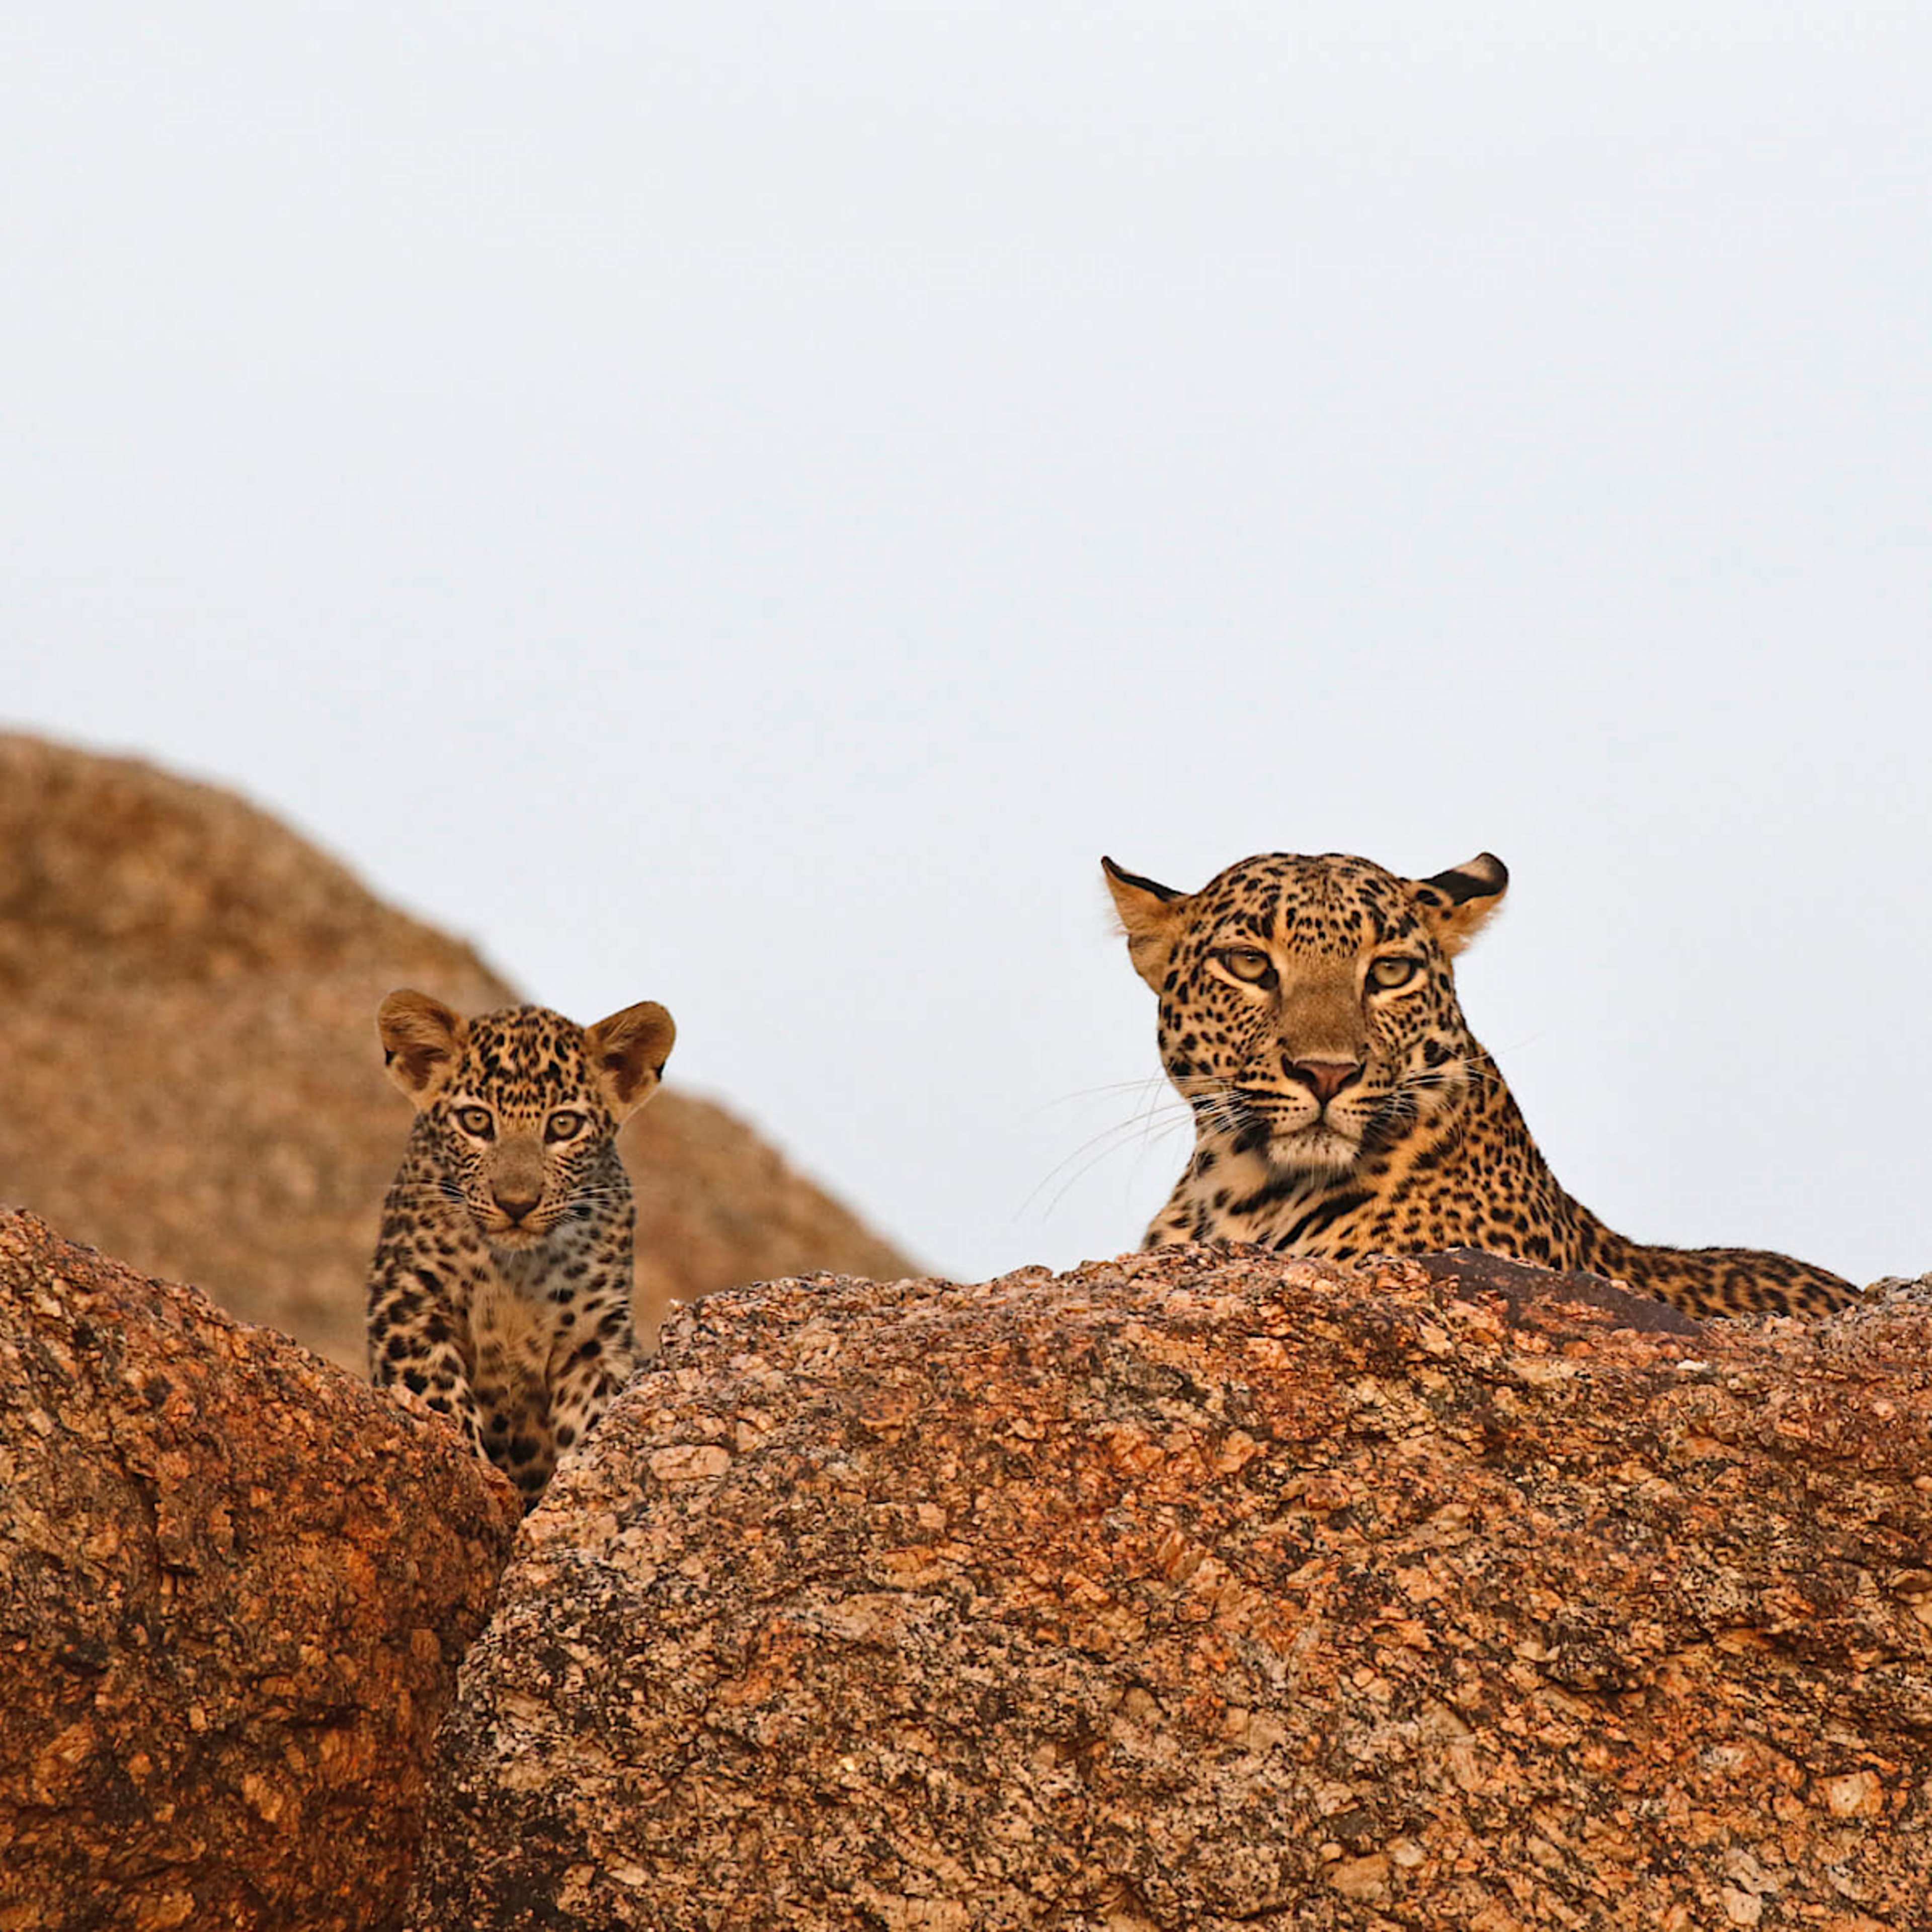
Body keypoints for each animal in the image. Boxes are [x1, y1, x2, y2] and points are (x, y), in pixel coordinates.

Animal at [365, 989, 676, 1507]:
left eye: (564, 1126)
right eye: (476, 1120)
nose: (516, 1204)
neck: (514, 1270)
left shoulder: (594, 1340)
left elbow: (594, 1417)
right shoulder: (409, 1302)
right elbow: (438, 1393)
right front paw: (474, 1472)